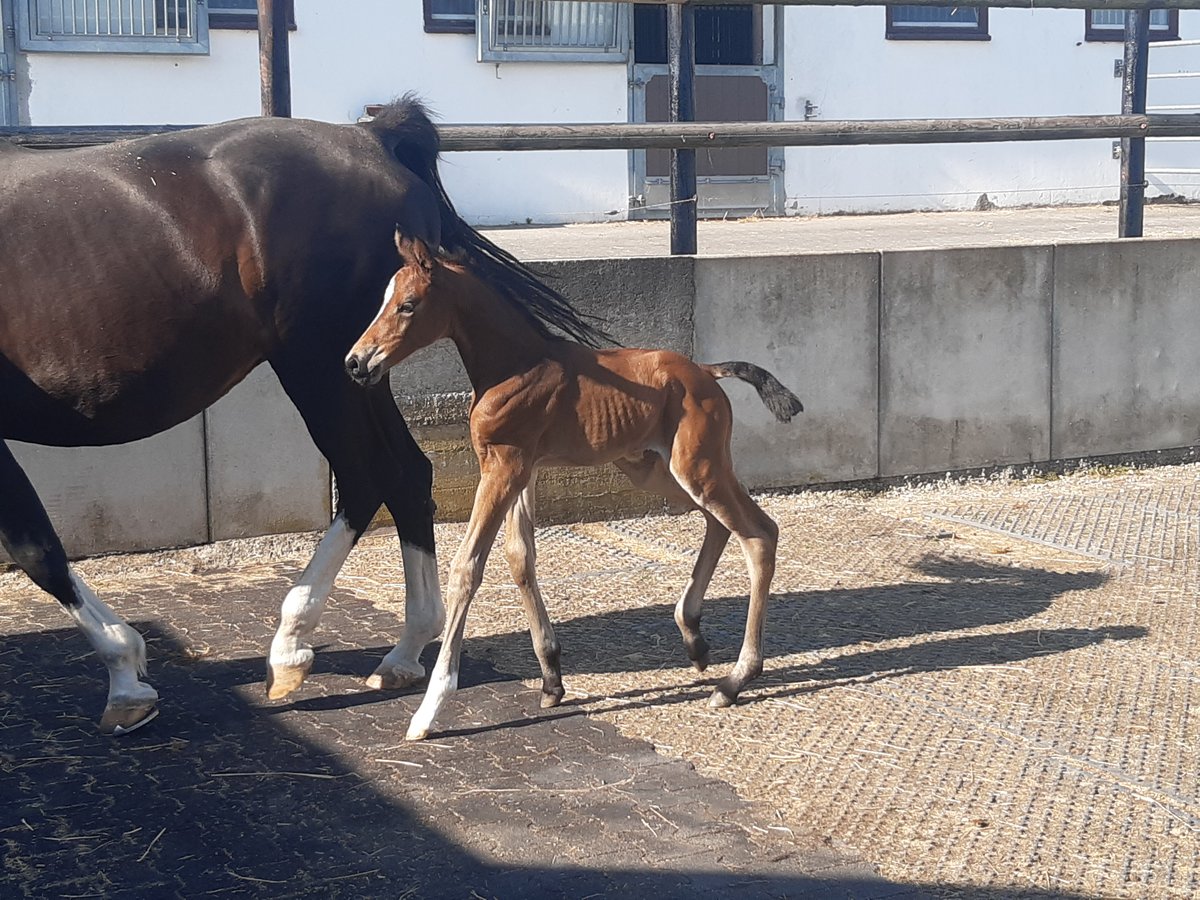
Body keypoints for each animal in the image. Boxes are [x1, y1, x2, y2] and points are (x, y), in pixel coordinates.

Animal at [343, 236, 801, 744]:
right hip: (656, 468)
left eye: (407, 304)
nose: (356, 362)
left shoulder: (502, 468)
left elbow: (467, 567)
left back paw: (736, 679)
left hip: (696, 466)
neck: (515, 363)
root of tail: (705, 370)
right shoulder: (523, 470)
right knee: (719, 524)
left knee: (758, 533)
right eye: (384, 300)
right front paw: (550, 678)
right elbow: (520, 558)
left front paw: (430, 708)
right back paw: (694, 636)